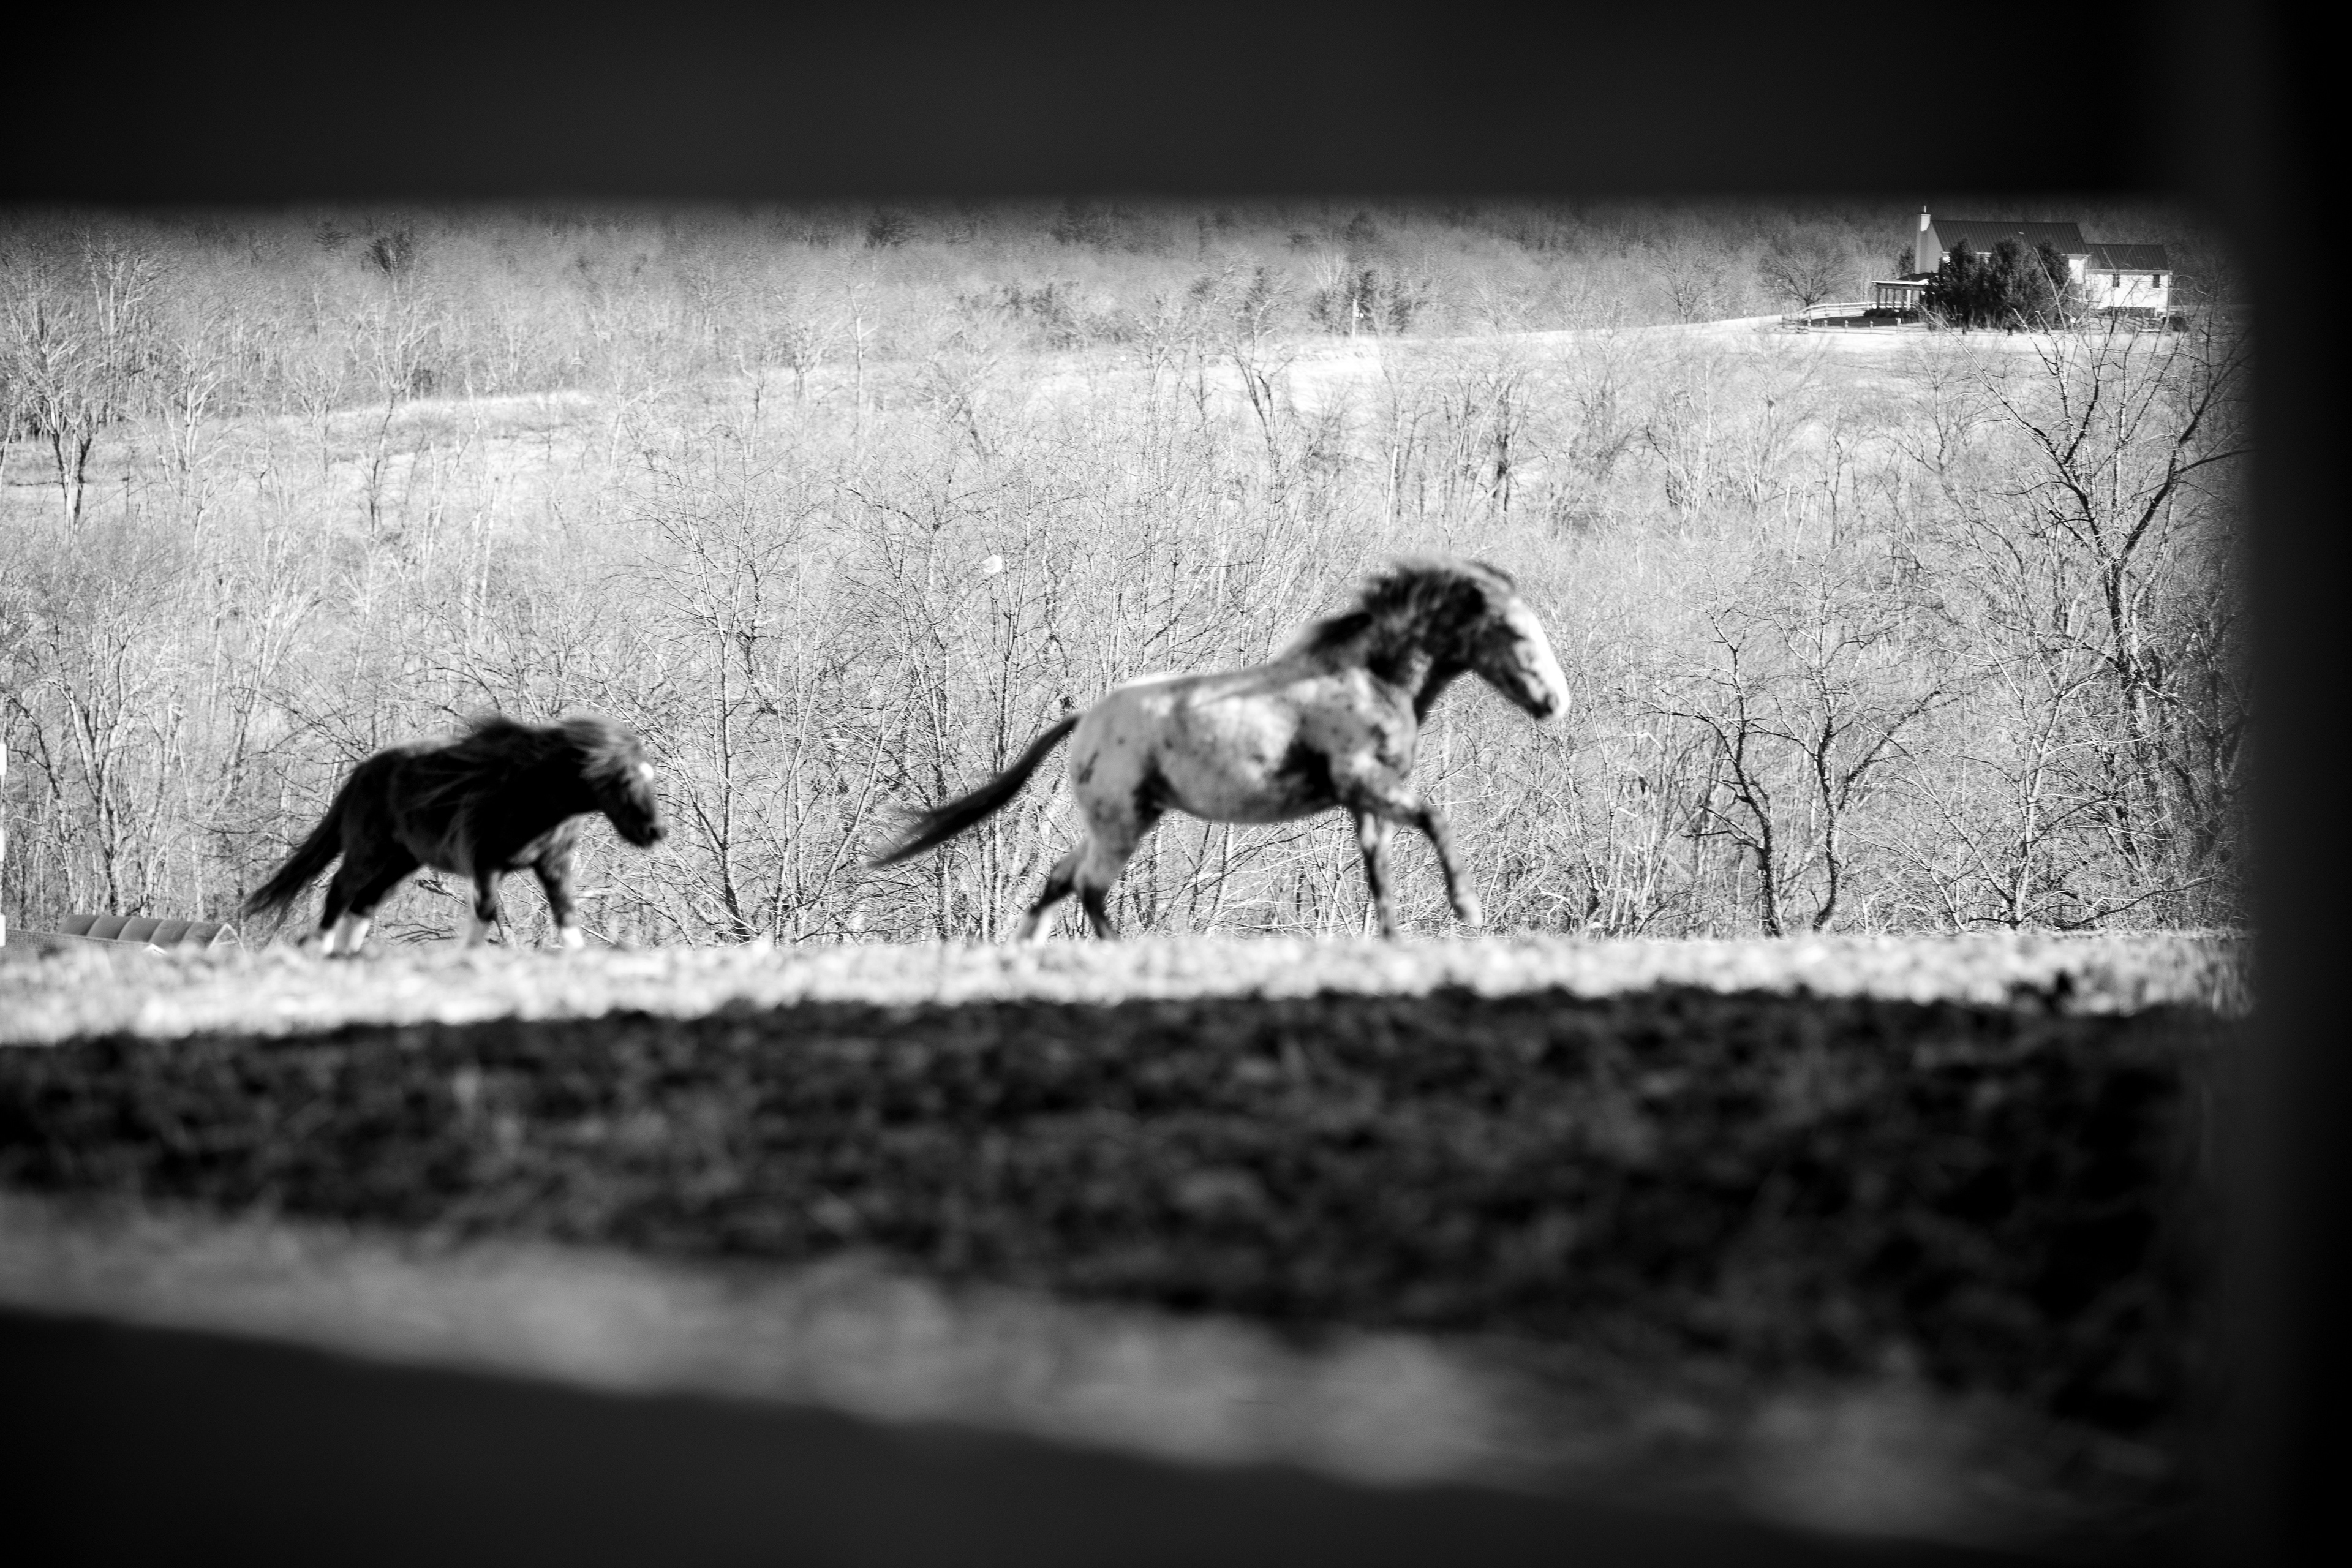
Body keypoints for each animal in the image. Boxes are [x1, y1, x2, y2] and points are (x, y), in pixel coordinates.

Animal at [242, 713, 666, 955]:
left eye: (651, 778)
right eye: (625, 780)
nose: (655, 832)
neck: (534, 793)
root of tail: (363, 771)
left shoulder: (553, 867)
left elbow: (566, 915)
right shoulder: (487, 864)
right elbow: (486, 913)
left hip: (401, 861)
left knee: (364, 903)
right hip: (369, 852)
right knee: (341, 891)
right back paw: (323, 949)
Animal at [870, 557, 1568, 940]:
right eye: (1511, 630)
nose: (1555, 701)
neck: (1368, 675)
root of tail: (1086, 718)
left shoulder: (1367, 805)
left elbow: (1381, 880)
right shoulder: (1367, 784)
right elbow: (1437, 819)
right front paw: (1468, 909)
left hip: (1126, 819)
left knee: (1060, 879)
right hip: (1123, 823)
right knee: (1090, 888)